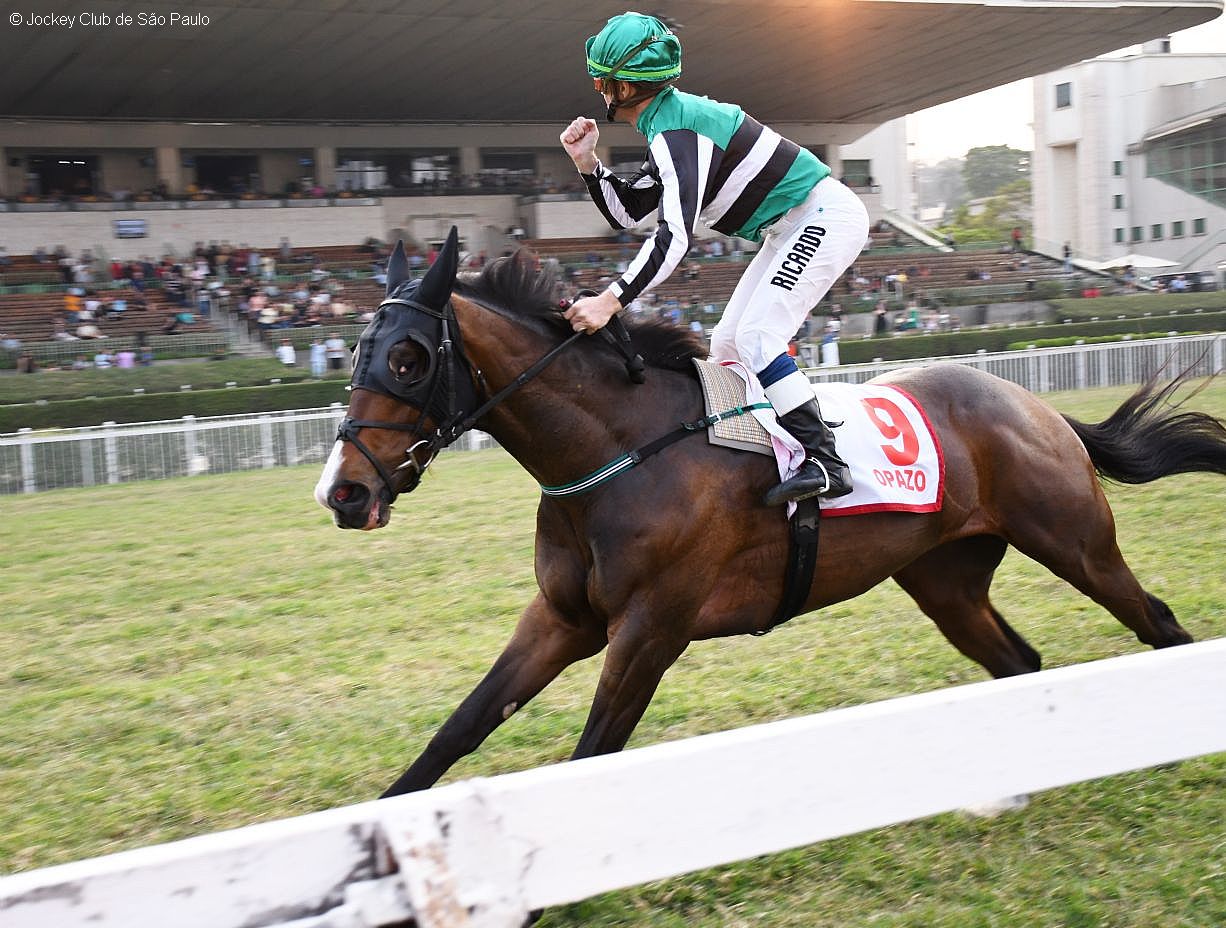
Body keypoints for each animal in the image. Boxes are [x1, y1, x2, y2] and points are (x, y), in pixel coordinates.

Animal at [313, 226, 1226, 794]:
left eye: (408, 357)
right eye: (356, 351)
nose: (344, 491)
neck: (619, 451)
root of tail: (1030, 404)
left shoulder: (651, 629)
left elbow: (591, 752)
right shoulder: (563, 619)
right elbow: (459, 729)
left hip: (1075, 542)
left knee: (1156, 621)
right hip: (947, 580)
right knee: (1019, 661)